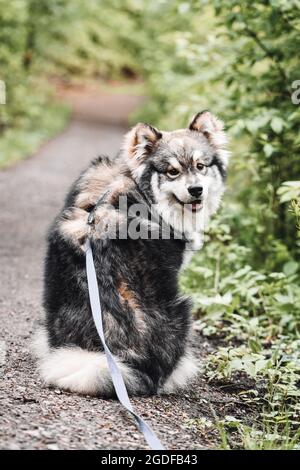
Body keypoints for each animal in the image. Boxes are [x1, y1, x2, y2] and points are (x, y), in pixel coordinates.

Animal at [33, 110, 230, 396]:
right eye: (172, 172)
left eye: (201, 166)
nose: (196, 190)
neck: (136, 185)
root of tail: (117, 358)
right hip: (183, 310)